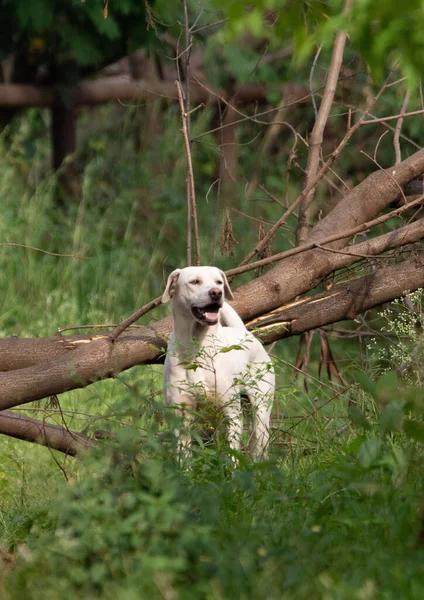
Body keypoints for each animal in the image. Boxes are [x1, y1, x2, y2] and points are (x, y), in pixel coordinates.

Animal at [161, 264, 274, 458]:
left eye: (219, 282)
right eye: (195, 281)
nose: (216, 293)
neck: (197, 347)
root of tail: (245, 333)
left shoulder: (232, 414)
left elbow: (231, 455)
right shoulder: (181, 415)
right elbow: (183, 456)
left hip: (260, 412)